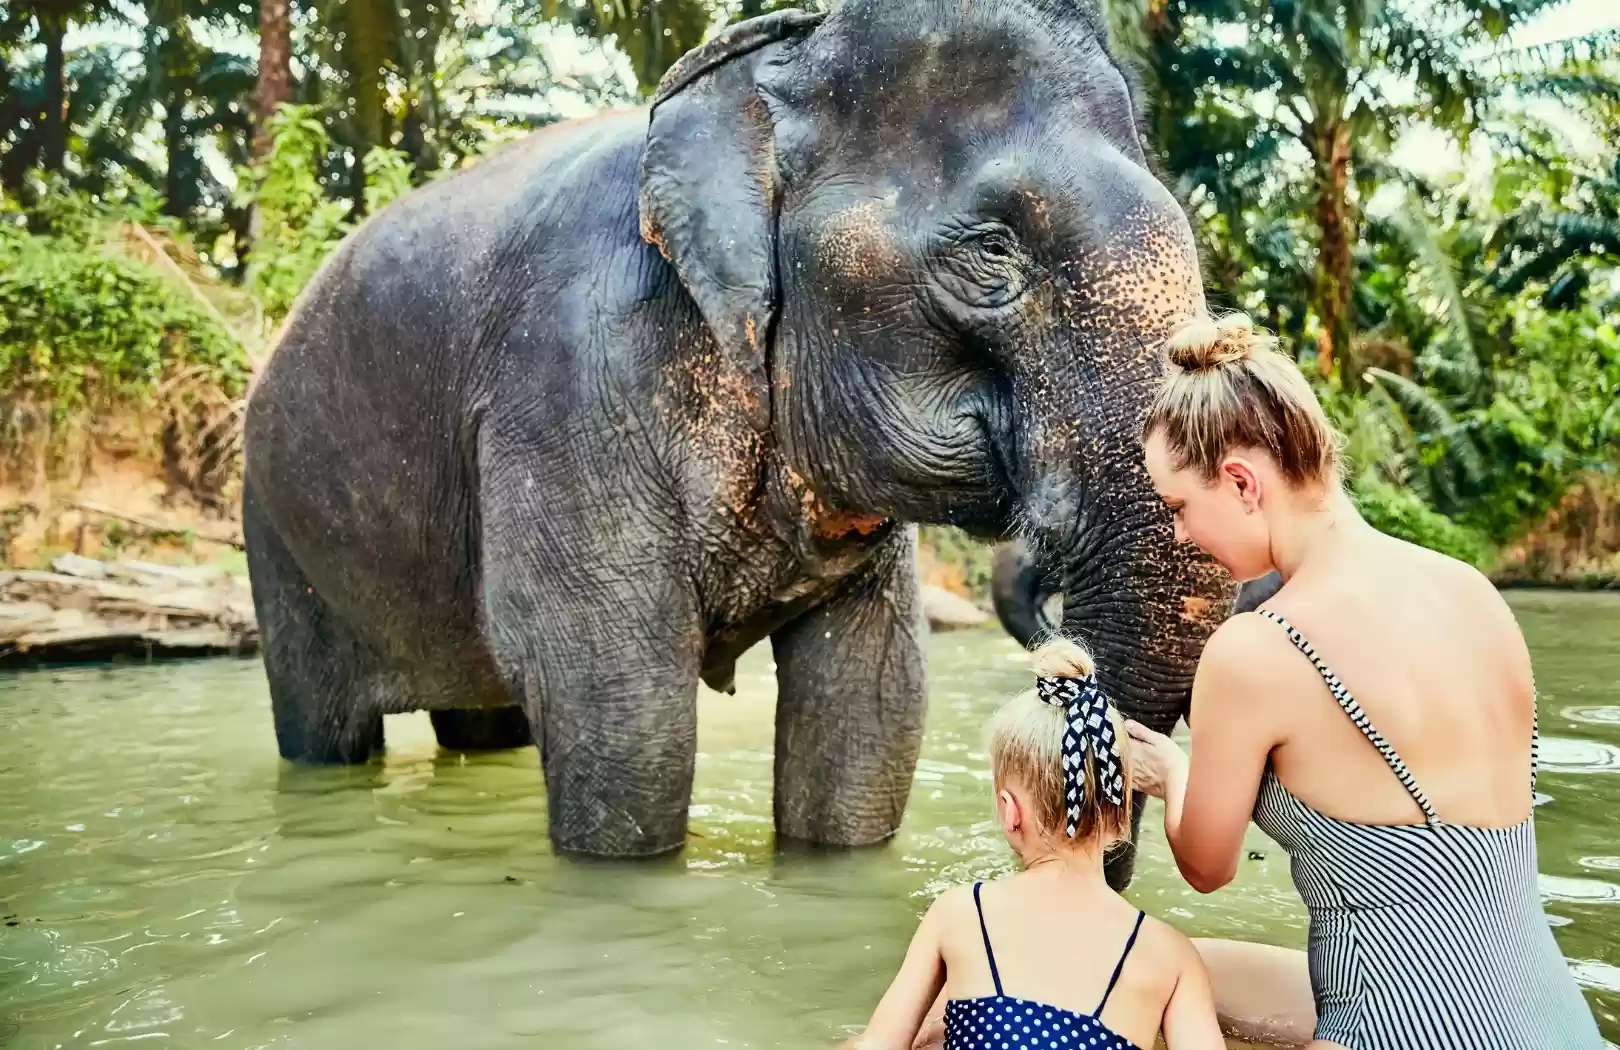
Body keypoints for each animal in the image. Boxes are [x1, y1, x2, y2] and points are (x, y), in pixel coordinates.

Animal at [241, 0, 1236, 873]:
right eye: (994, 250)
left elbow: (872, 707)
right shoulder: (566, 384)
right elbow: (620, 705)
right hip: (277, 534)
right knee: (325, 728)